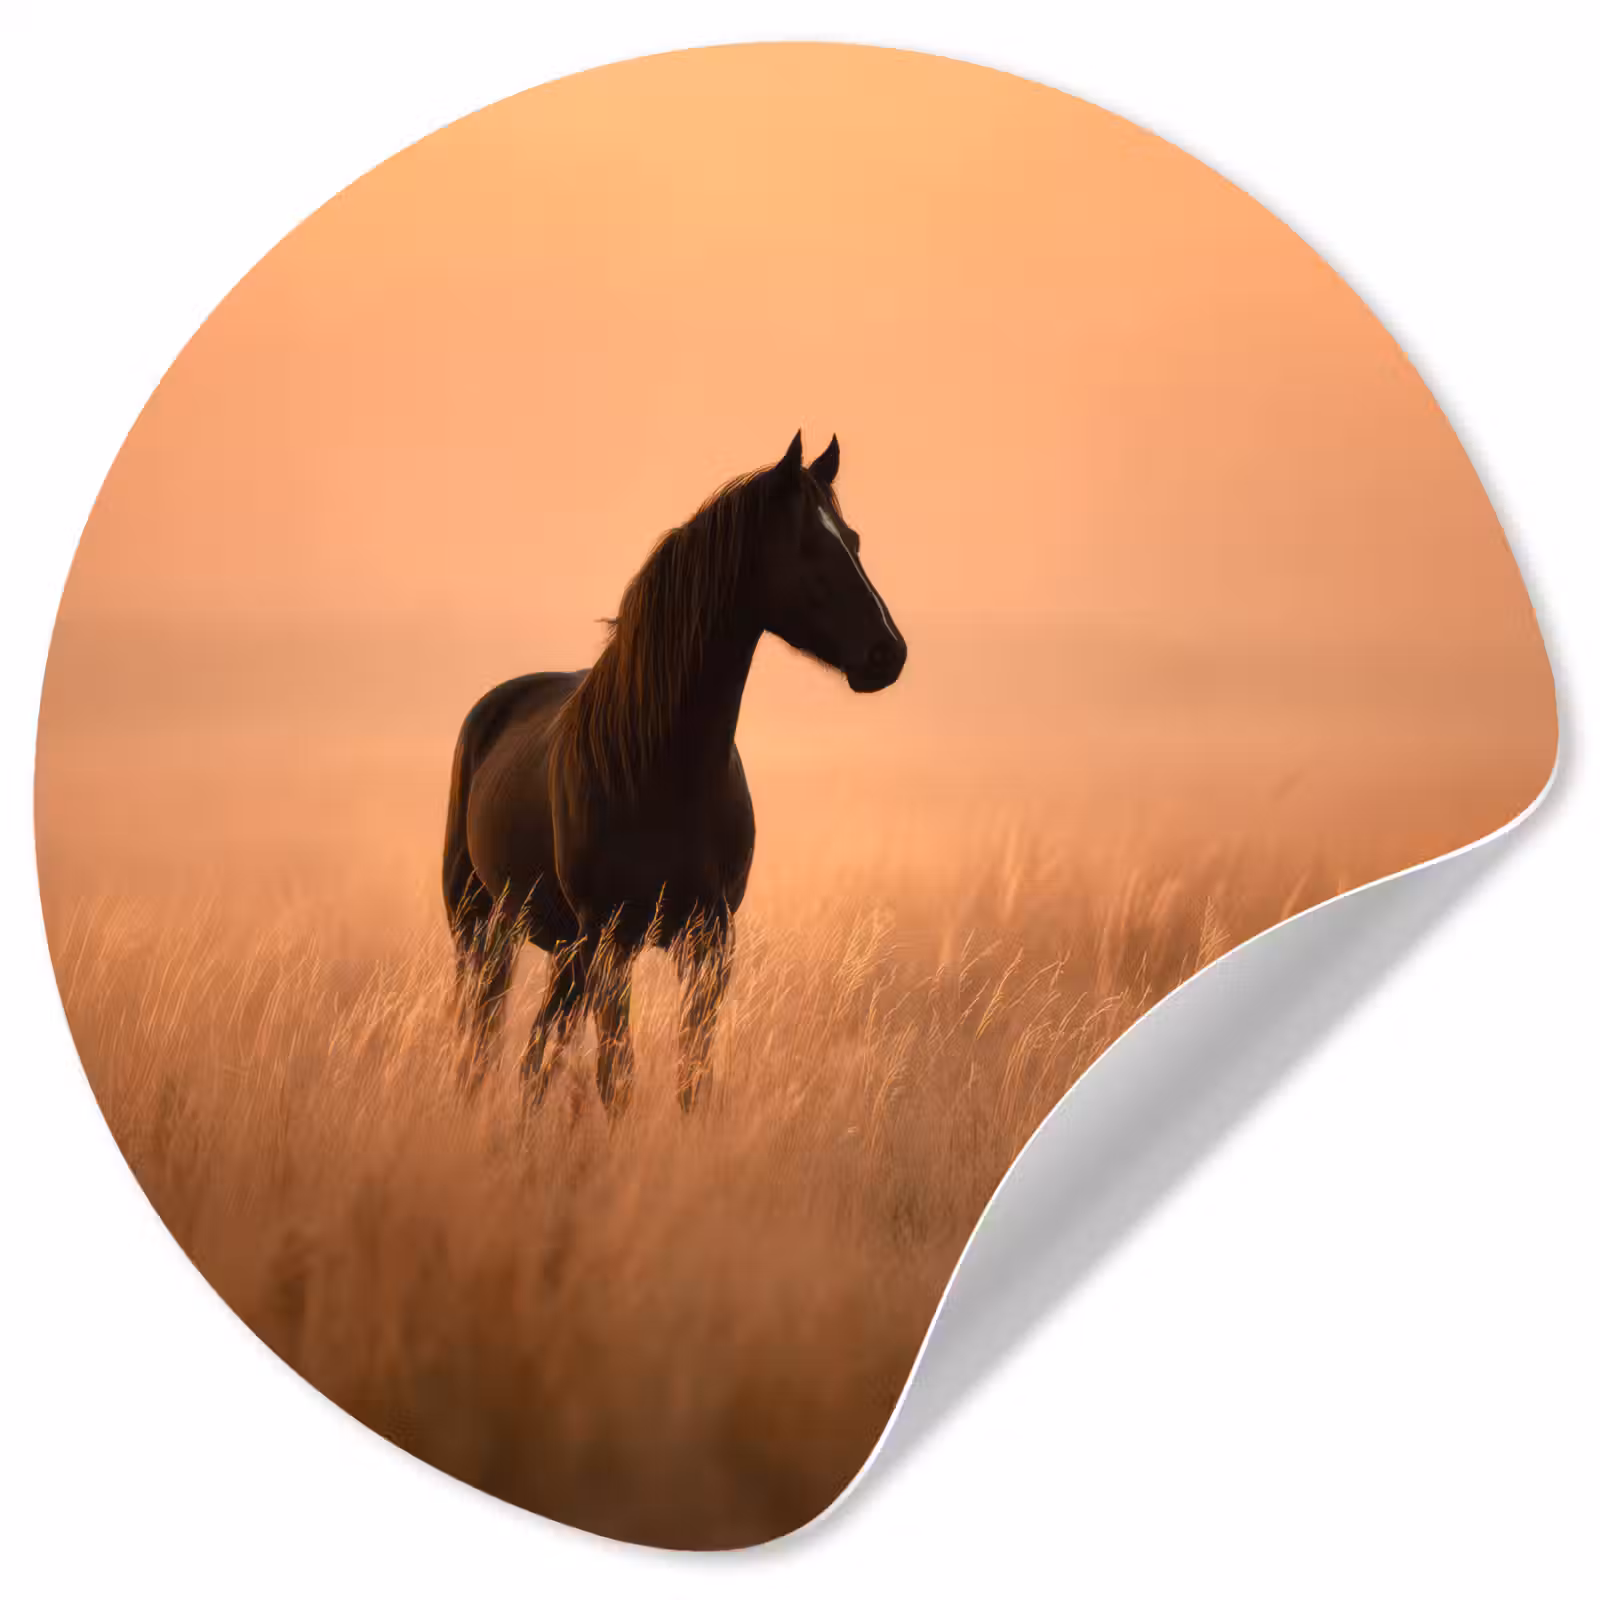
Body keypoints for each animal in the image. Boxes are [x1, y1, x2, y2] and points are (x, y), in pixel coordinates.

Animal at [441, 430, 906, 1117]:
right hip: (484, 928)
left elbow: (692, 1076)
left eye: (851, 538)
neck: (662, 767)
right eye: (808, 546)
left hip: (560, 947)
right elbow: (617, 1078)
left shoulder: (708, 941)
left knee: (533, 1057)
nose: (887, 653)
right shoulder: (613, 941)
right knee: (484, 1045)